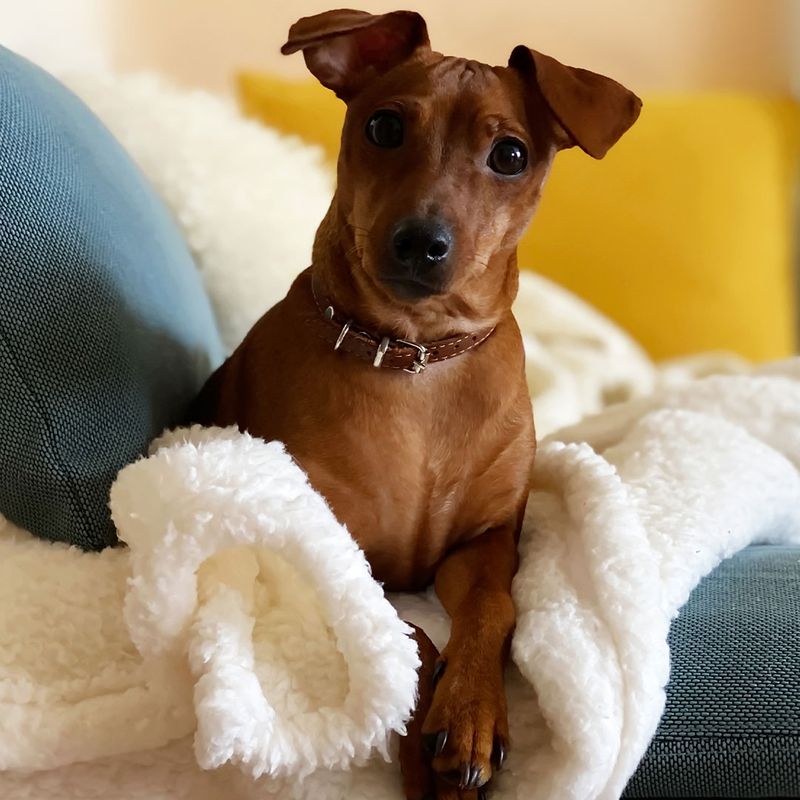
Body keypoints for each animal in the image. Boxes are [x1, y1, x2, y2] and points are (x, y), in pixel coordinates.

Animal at [189, 9, 644, 796]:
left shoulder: (482, 543)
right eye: (384, 127)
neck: (416, 359)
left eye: (511, 154)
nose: (421, 243)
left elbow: (495, 608)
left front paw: (470, 716)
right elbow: (406, 636)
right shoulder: (336, 548)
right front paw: (424, 750)